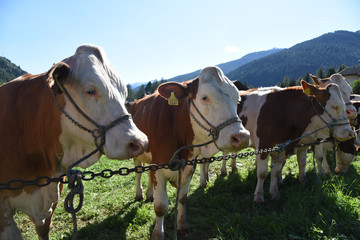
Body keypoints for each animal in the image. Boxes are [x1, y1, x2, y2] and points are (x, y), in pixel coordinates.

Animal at [129, 66, 250, 240]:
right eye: (204, 97)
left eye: (238, 99)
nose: (242, 137)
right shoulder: (158, 166)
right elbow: (160, 206)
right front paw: (158, 234)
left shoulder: (189, 166)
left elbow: (182, 199)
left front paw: (182, 226)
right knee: (139, 173)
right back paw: (139, 194)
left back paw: (150, 194)